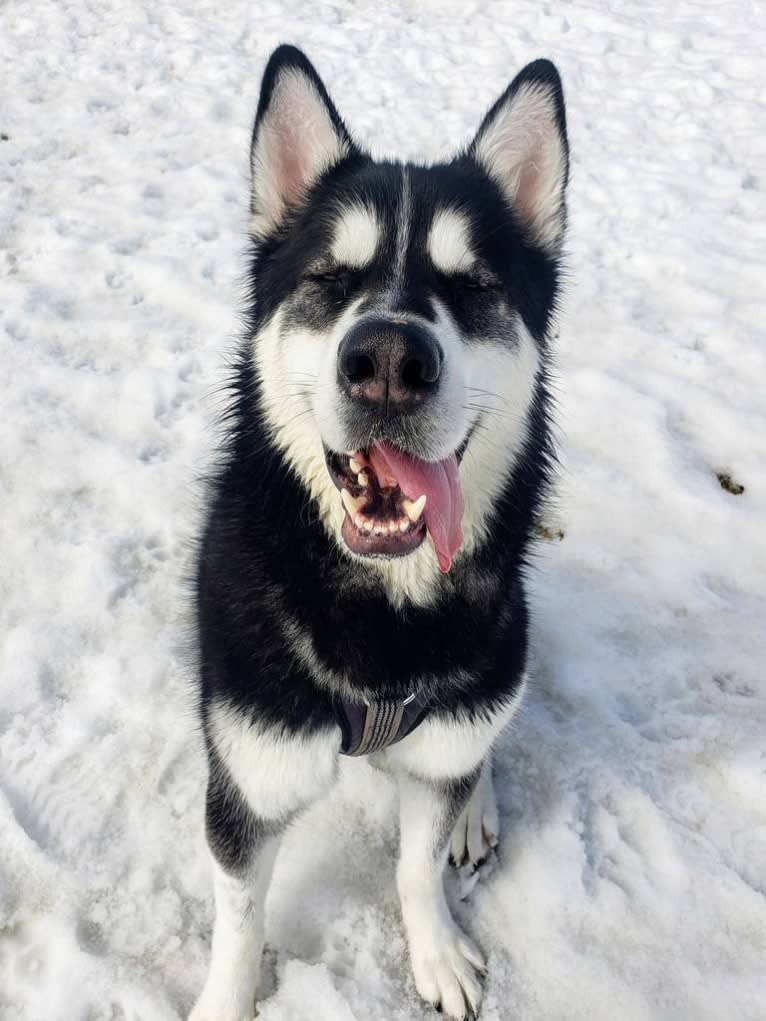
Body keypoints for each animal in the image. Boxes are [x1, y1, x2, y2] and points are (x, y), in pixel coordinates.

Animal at [188, 43, 567, 1021]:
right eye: (329, 278)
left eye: (474, 287)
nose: (390, 361)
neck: (379, 617)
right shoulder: (250, 769)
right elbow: (240, 916)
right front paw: (227, 996)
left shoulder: (448, 731)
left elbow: (417, 865)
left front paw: (434, 950)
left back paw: (475, 806)